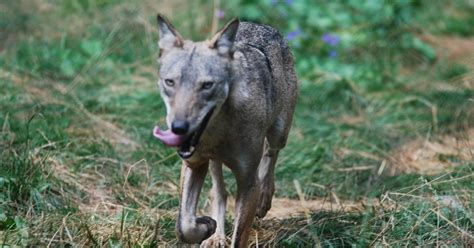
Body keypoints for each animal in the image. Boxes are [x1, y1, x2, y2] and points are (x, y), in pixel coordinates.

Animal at [154, 14, 298, 247]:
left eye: (207, 85)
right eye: (170, 82)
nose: (179, 128)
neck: (217, 133)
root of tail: (259, 25)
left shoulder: (248, 183)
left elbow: (239, 237)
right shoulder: (193, 164)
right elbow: (184, 226)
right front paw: (206, 226)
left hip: (279, 132)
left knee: (271, 155)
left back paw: (264, 198)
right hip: (214, 164)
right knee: (218, 192)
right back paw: (217, 236)